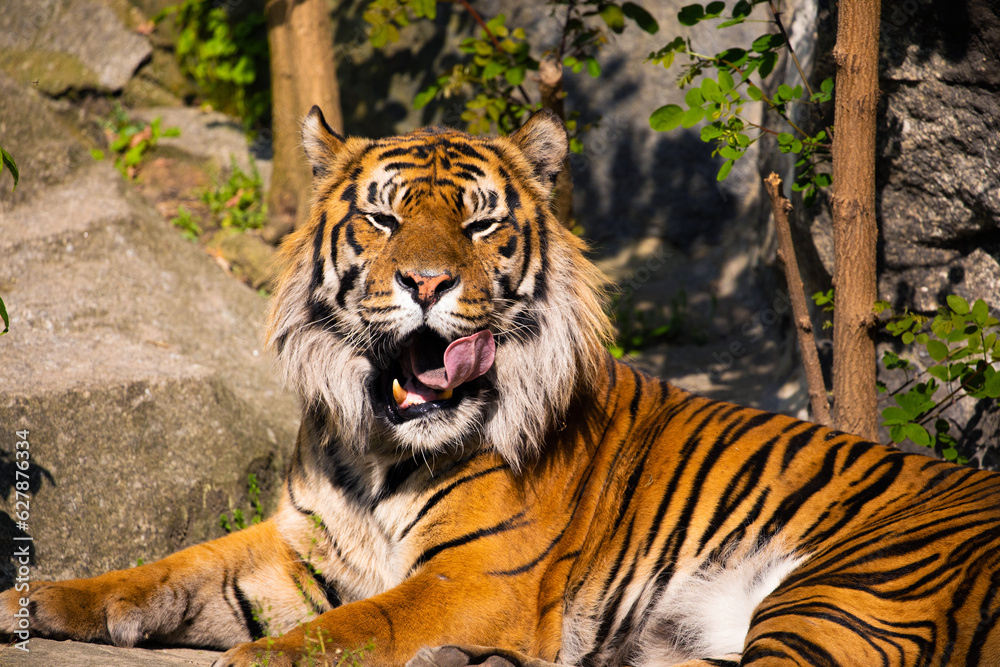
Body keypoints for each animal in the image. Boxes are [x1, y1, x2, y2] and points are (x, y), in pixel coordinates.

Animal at [3, 107, 999, 667]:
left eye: (481, 225)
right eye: (382, 218)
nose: (428, 283)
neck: (377, 445)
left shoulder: (476, 577)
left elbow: (360, 624)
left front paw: (259, 663)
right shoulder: (298, 548)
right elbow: (162, 570)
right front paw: (34, 598)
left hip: (848, 586)